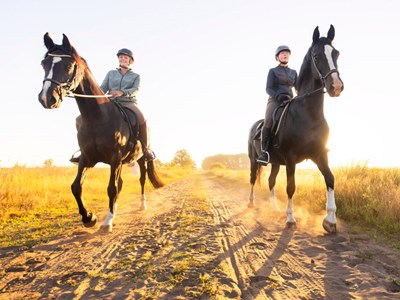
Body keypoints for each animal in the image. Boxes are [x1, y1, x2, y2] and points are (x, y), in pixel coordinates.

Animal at [37, 34, 162, 233]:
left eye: (68, 65)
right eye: (44, 64)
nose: (46, 98)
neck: (97, 118)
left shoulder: (115, 158)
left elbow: (111, 188)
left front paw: (107, 222)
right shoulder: (87, 158)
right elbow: (76, 187)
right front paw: (89, 217)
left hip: (141, 158)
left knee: (141, 179)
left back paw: (142, 205)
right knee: (121, 184)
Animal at [248, 24, 342, 233]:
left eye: (336, 53)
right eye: (316, 56)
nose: (336, 86)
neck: (309, 115)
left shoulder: (320, 154)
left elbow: (330, 179)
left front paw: (330, 220)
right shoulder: (291, 159)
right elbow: (291, 187)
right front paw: (291, 219)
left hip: (275, 162)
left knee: (271, 181)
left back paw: (275, 208)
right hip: (253, 160)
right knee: (252, 179)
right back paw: (251, 203)